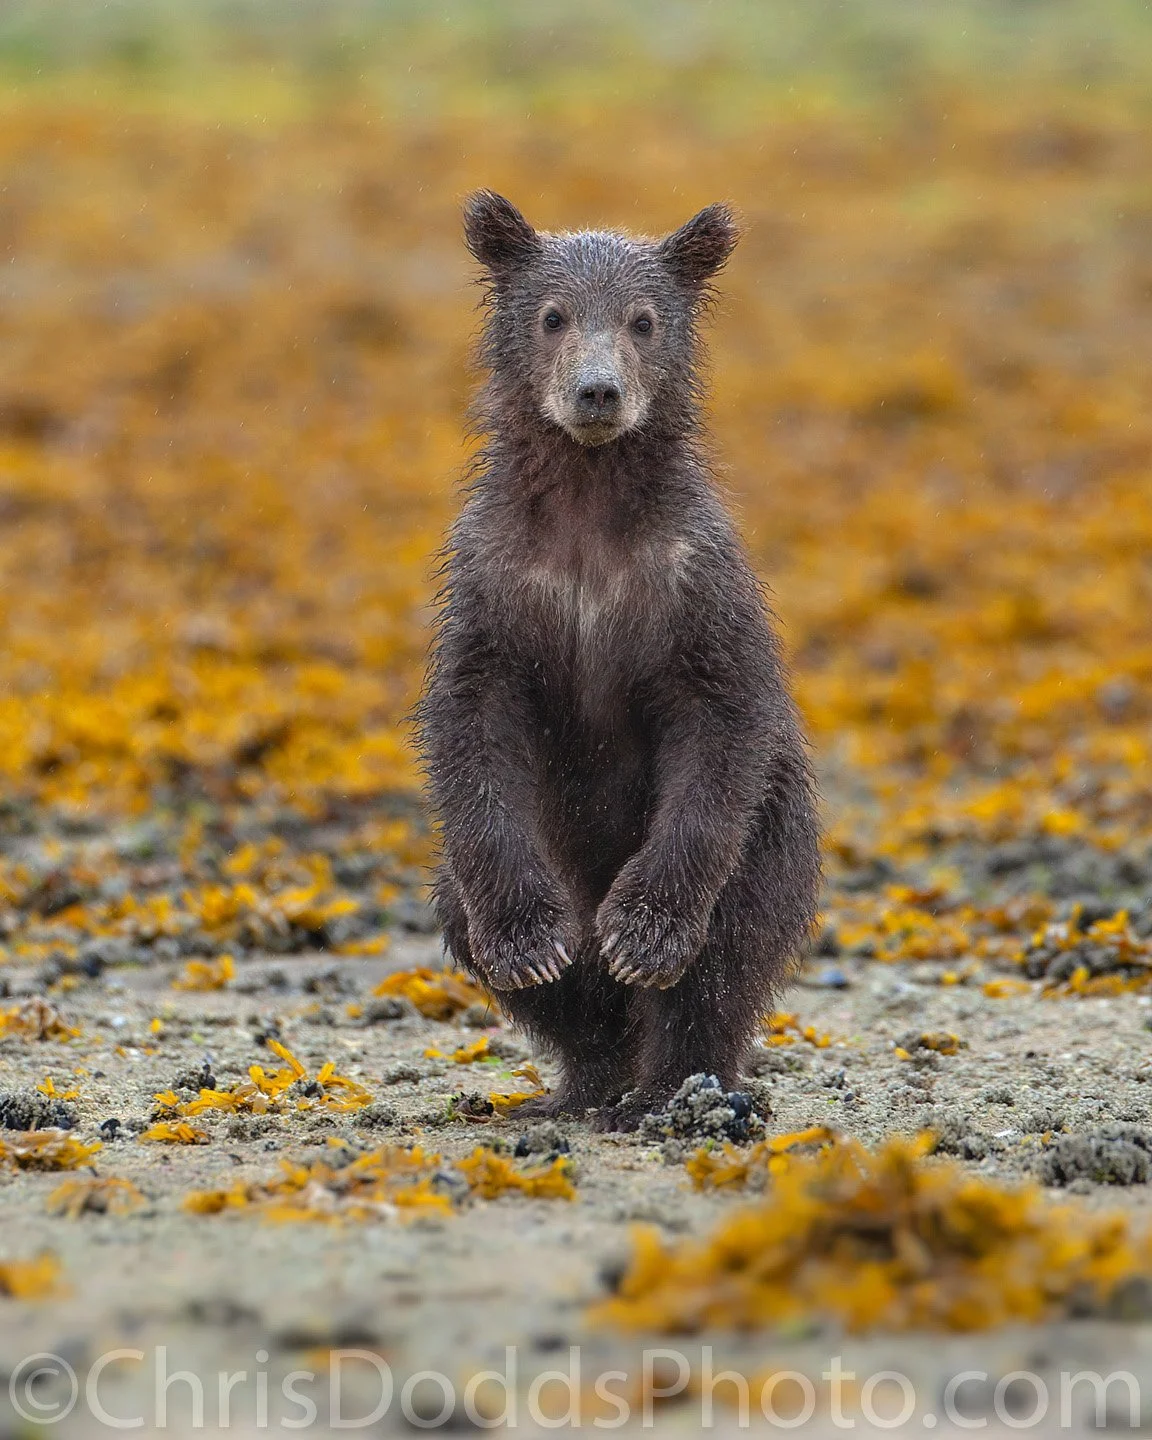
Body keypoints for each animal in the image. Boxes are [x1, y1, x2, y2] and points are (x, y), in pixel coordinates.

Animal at [416, 190, 820, 1129]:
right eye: (553, 315)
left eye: (643, 319)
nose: (596, 391)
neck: (588, 510)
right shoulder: (498, 584)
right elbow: (472, 722)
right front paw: (527, 943)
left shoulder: (691, 586)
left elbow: (721, 726)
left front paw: (644, 933)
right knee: (516, 948)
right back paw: (579, 1082)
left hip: (774, 845)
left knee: (727, 956)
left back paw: (678, 1089)